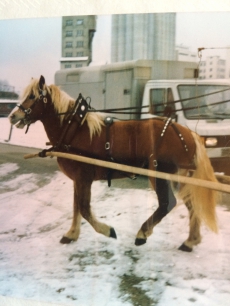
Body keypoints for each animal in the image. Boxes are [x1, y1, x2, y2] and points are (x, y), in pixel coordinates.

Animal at [9, 75, 217, 252]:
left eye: (33, 96)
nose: (12, 116)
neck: (74, 131)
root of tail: (187, 133)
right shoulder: (78, 179)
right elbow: (76, 206)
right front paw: (71, 234)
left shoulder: (83, 177)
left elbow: (84, 208)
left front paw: (108, 231)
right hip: (179, 177)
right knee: (191, 204)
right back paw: (190, 241)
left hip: (160, 175)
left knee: (167, 203)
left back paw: (142, 233)